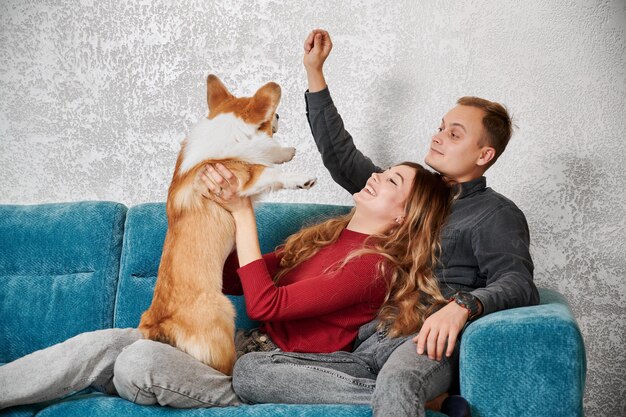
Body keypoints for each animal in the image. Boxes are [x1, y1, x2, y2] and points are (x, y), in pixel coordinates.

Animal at [138, 74, 314, 374]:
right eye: (271, 115)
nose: (279, 114)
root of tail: (160, 324)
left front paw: (286, 151)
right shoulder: (247, 177)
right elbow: (271, 171)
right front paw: (301, 177)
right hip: (224, 312)